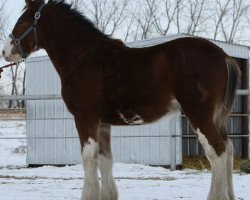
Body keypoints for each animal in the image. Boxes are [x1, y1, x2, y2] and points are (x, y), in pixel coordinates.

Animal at [1, 0, 240, 200]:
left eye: (22, 22)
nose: (5, 52)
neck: (83, 58)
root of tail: (224, 56)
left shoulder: (85, 118)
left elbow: (89, 157)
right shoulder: (103, 123)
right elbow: (106, 160)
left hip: (199, 115)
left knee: (217, 153)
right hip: (216, 118)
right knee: (228, 149)